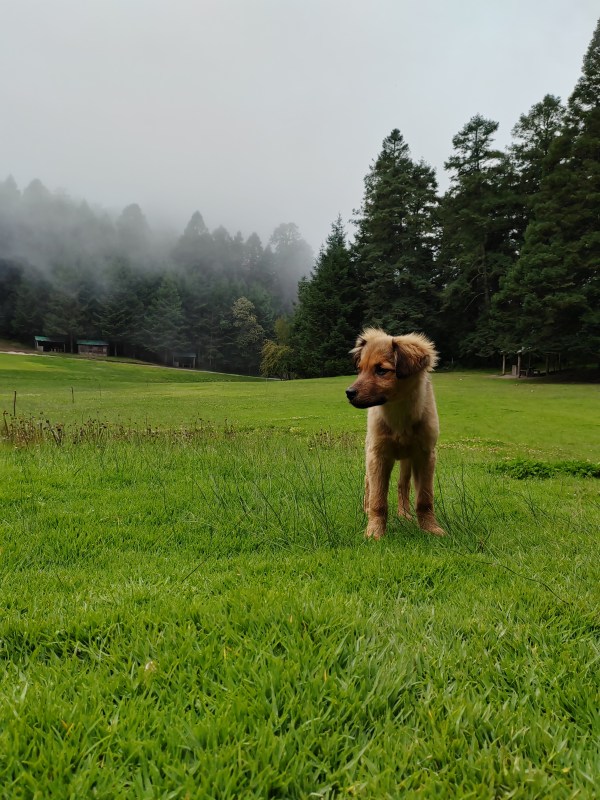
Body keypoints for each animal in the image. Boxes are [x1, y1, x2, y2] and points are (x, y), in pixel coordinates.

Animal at [346, 328, 446, 540]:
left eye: (381, 370)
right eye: (359, 369)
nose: (349, 393)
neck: (399, 414)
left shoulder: (425, 455)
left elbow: (425, 498)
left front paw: (430, 528)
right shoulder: (378, 455)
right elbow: (378, 499)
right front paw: (374, 532)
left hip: (407, 461)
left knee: (403, 485)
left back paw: (405, 514)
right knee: (368, 485)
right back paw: (366, 510)